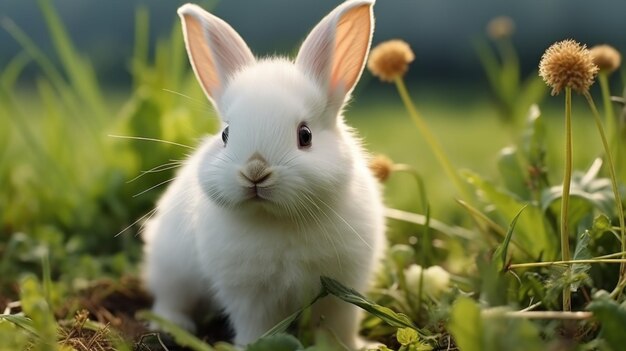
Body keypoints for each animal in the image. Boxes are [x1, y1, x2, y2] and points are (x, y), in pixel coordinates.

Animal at [141, 0, 382, 350]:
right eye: (226, 134)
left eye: (305, 135)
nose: (255, 172)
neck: (279, 220)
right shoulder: (249, 295)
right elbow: (256, 326)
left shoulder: (342, 287)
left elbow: (339, 324)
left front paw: (351, 346)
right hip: (171, 268)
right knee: (171, 300)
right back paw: (173, 325)